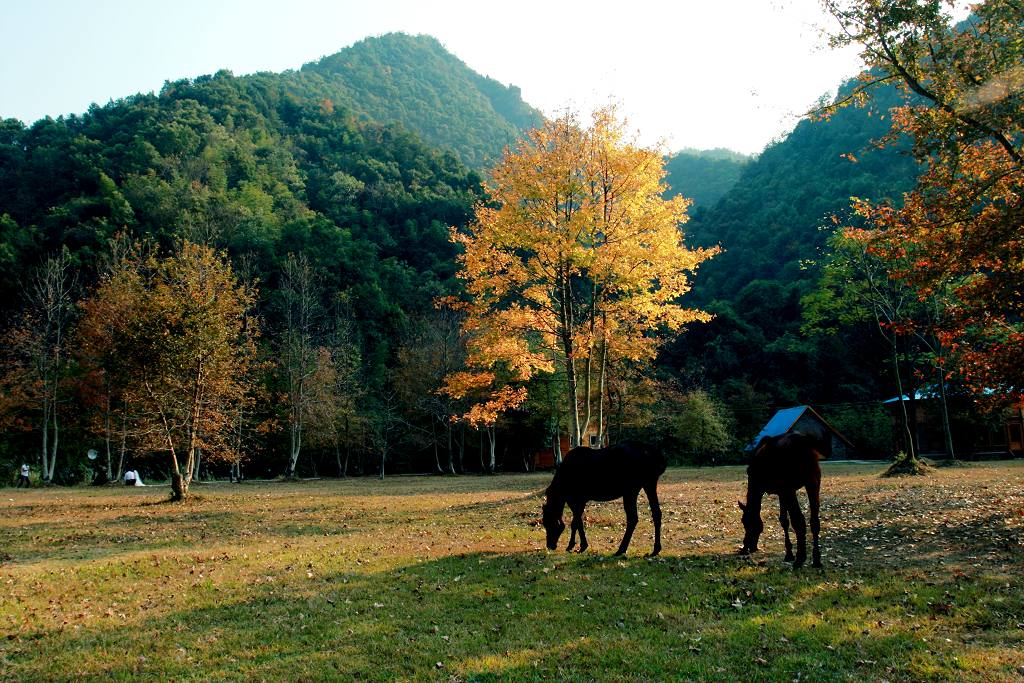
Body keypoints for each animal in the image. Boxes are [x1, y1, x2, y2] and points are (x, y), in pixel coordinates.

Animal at [737, 432, 823, 573]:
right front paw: (789, 553)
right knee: (815, 521)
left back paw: (800, 559)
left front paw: (791, 554)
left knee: (799, 521)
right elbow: (784, 520)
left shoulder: (780, 490)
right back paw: (816, 560)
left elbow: (786, 520)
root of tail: (804, 443)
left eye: (745, 522)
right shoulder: (781, 492)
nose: (746, 547)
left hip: (790, 488)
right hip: (813, 482)